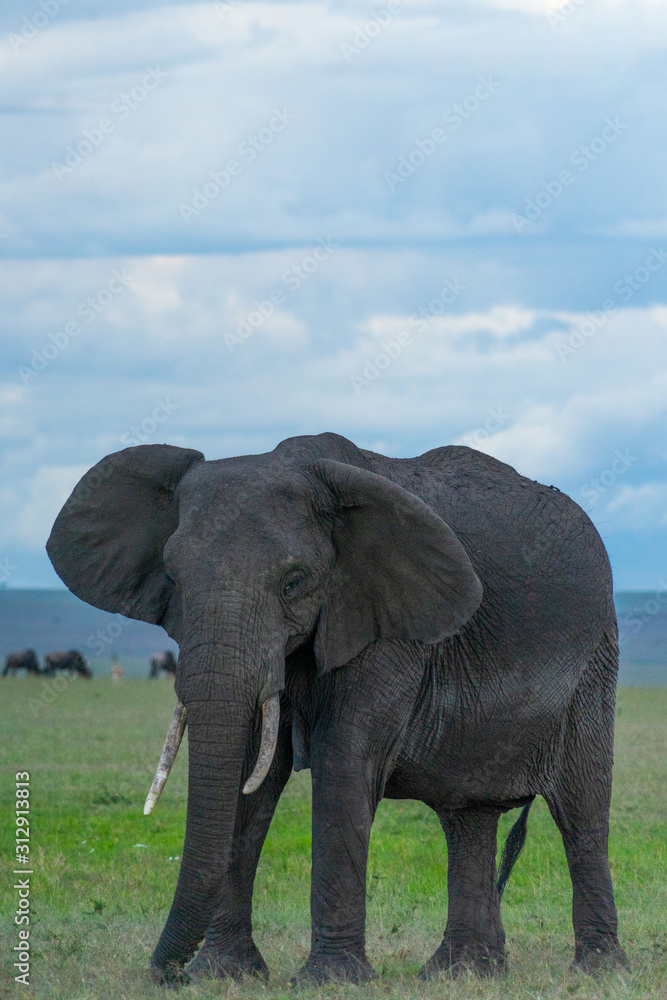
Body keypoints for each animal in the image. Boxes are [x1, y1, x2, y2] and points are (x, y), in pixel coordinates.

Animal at [46, 432, 627, 984]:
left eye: (294, 583)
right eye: (173, 577)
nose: (168, 976)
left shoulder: (386, 620)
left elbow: (344, 763)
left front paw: (330, 979)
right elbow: (252, 773)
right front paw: (224, 973)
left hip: (595, 660)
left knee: (581, 809)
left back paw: (597, 971)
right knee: (468, 815)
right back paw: (462, 972)